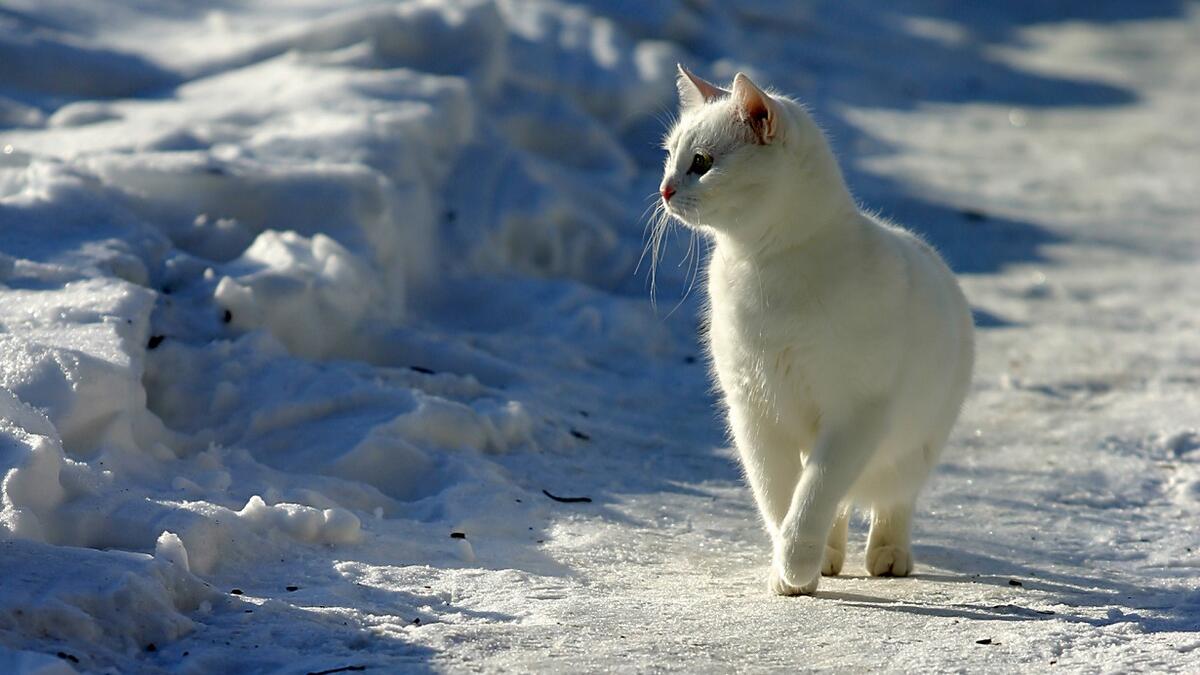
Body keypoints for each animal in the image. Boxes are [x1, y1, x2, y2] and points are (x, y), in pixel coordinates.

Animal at [662, 66, 969, 593]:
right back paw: (830, 557)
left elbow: (812, 499)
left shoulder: (853, 415)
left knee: (892, 500)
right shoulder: (755, 414)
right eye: (669, 156)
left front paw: (796, 562)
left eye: (700, 162)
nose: (663, 190)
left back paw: (888, 555)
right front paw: (794, 573)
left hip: (914, 445)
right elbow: (782, 498)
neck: (764, 267)